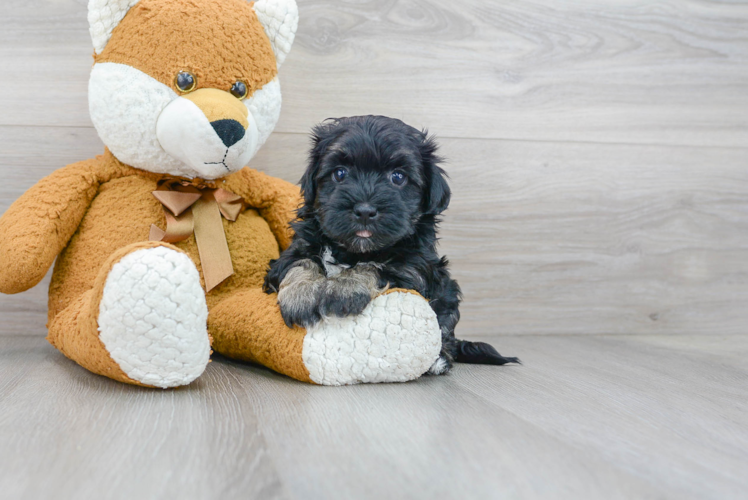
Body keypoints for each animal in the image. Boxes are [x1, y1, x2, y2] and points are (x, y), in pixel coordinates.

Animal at [264, 115, 520, 374]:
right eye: (340, 173)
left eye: (398, 177)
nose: (365, 210)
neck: (353, 251)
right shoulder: (295, 249)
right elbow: (300, 261)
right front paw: (301, 296)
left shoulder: (414, 269)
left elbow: (376, 266)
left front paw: (344, 288)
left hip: (448, 294)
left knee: (445, 331)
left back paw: (439, 360)